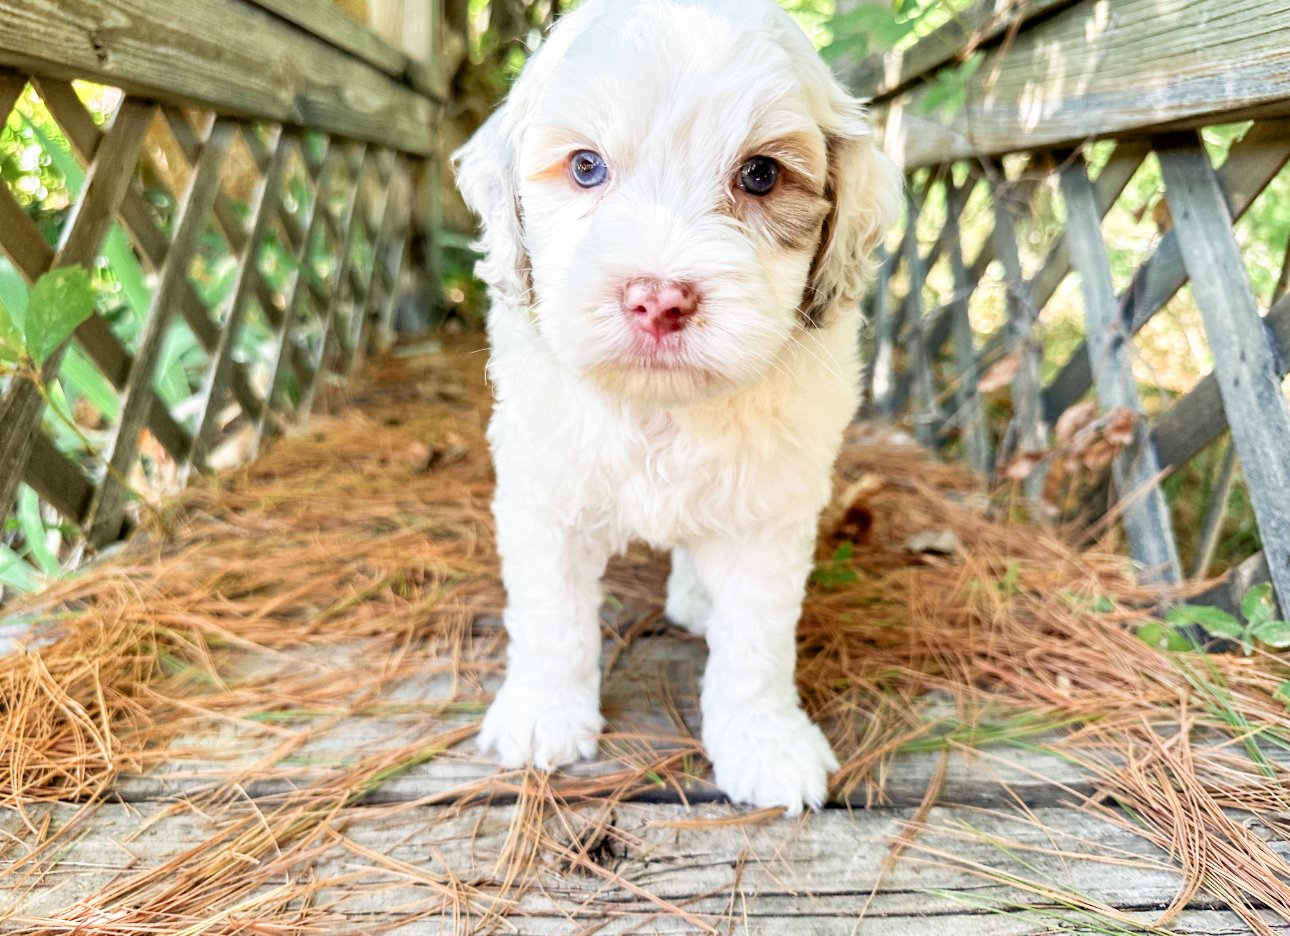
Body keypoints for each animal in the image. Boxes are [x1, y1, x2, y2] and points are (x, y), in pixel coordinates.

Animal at [459, 0, 903, 819]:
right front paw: (543, 714)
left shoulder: (769, 510)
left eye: (760, 174)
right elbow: (550, 616)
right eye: (585, 167)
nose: (658, 300)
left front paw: (765, 742)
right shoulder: (545, 493)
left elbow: (757, 639)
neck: (661, 410)